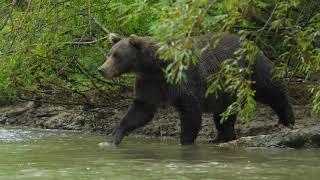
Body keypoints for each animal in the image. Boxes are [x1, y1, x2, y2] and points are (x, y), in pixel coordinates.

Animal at [98, 32, 296, 145]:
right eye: (109, 54)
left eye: (117, 56)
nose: (102, 69)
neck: (153, 66)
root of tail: (250, 42)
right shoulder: (149, 83)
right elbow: (140, 110)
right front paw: (113, 138)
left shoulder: (183, 77)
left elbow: (190, 110)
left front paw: (185, 141)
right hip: (224, 88)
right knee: (223, 113)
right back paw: (222, 137)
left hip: (251, 68)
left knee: (271, 87)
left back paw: (287, 119)